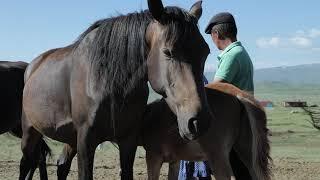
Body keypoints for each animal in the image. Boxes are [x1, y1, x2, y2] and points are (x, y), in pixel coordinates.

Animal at [18, 0, 211, 179]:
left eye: (205, 52)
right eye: (167, 52)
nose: (199, 121)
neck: (107, 81)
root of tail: (33, 66)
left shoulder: (128, 140)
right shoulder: (85, 140)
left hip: (70, 138)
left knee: (62, 165)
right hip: (30, 132)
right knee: (26, 163)